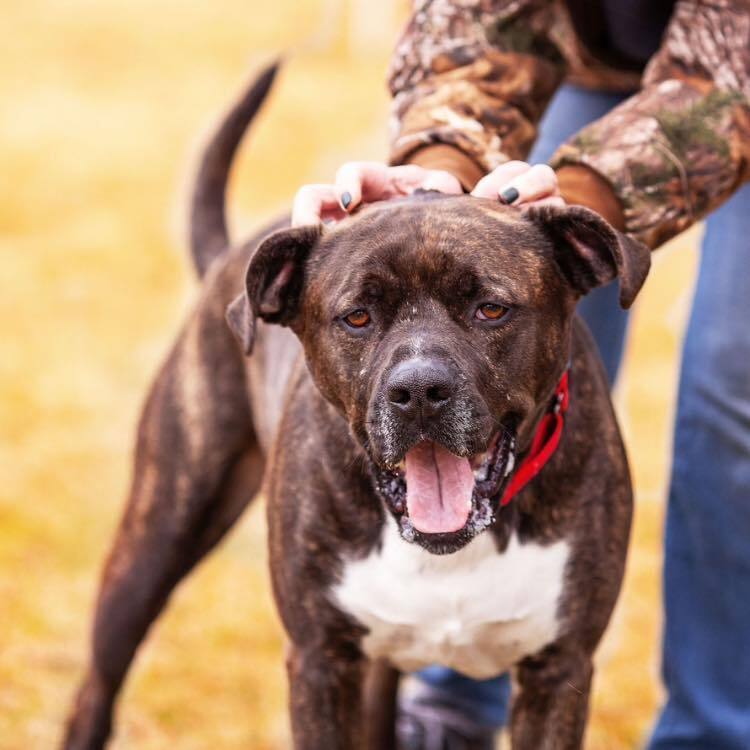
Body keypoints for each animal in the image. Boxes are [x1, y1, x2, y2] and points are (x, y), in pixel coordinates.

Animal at [64, 64, 652, 750]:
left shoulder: (559, 672)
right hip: (155, 540)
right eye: (357, 317)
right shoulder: (321, 662)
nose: (418, 390)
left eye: (491, 309)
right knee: (98, 686)